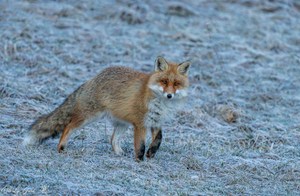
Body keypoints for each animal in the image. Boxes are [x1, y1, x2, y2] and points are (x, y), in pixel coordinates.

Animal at [24, 56, 191, 161]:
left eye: (176, 84)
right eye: (164, 81)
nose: (169, 95)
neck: (160, 103)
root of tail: (94, 77)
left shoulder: (156, 121)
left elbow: (159, 139)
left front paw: (151, 153)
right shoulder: (140, 124)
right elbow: (140, 146)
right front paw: (139, 161)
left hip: (122, 124)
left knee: (112, 139)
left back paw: (118, 154)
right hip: (89, 116)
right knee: (68, 127)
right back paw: (61, 148)